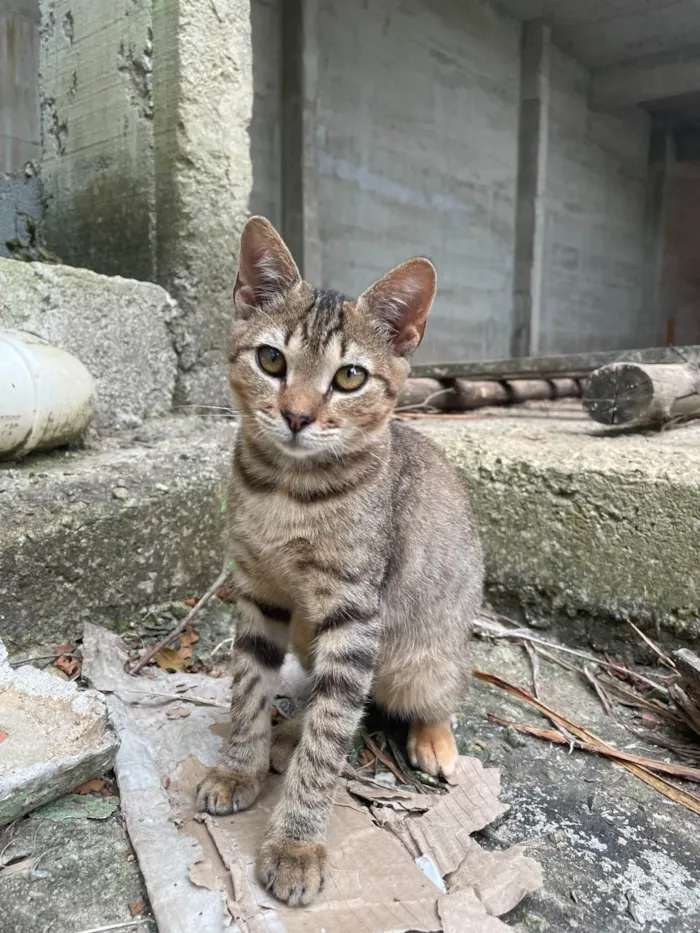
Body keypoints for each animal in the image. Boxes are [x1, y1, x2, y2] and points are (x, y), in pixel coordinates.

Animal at [194, 217, 484, 904]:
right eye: (271, 360)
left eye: (350, 377)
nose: (297, 415)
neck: (286, 490)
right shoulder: (258, 594)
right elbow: (248, 689)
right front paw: (240, 767)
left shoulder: (354, 615)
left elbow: (330, 742)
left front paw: (297, 843)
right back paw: (286, 733)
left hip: (422, 656)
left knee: (416, 695)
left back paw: (432, 737)